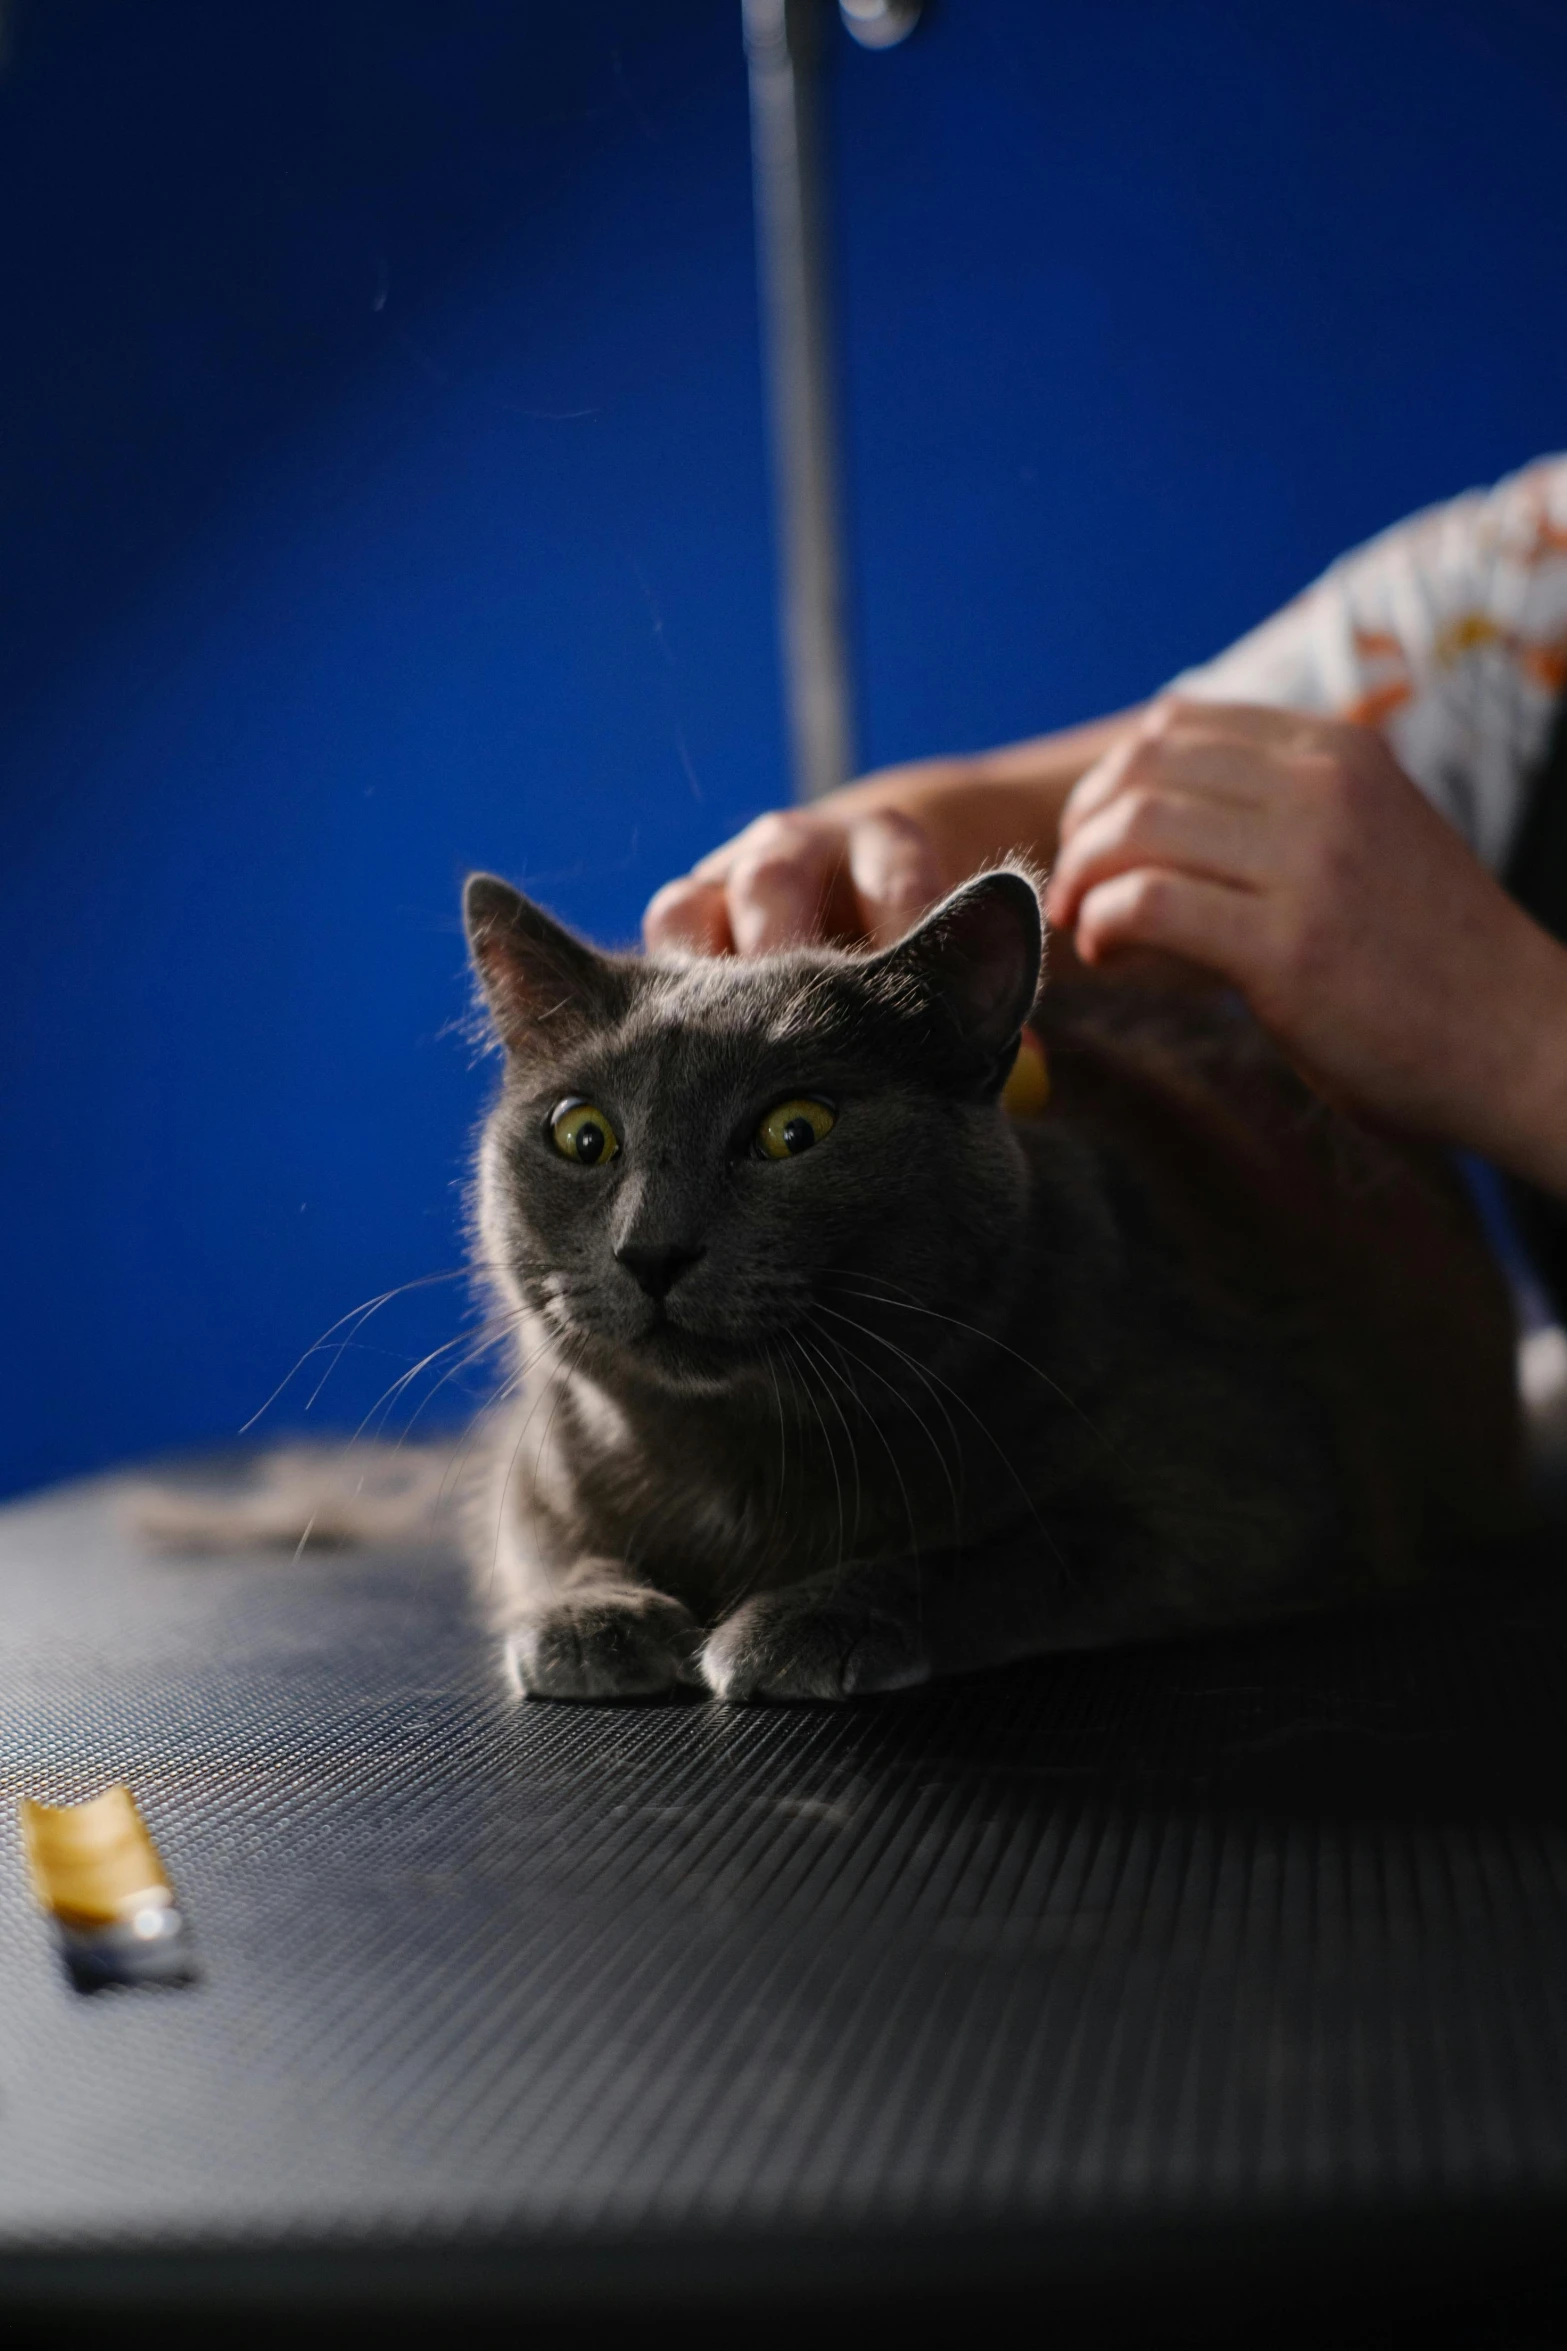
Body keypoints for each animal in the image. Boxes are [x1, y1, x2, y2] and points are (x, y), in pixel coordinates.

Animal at [451, 860, 1522, 1692]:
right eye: (582, 1135)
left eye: (794, 1129)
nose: (652, 1249)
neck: (738, 1457)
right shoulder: (534, 1467)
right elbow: (547, 1544)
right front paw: (595, 1620)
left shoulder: (1255, 1487)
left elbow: (1009, 1550)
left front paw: (810, 1620)